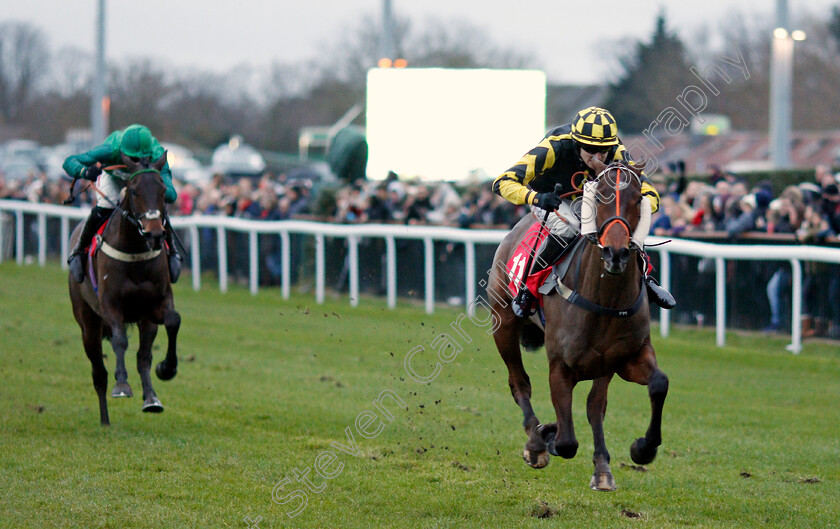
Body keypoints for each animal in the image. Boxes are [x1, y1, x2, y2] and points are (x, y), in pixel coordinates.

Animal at [69, 153, 180, 424]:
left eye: (163, 191)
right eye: (135, 191)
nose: (155, 233)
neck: (134, 251)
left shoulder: (155, 304)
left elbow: (173, 321)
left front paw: (167, 368)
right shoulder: (110, 305)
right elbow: (119, 340)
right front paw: (121, 385)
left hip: (144, 320)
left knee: (143, 357)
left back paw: (151, 398)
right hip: (87, 323)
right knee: (98, 372)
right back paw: (105, 420)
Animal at [488, 159, 668, 488]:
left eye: (639, 198)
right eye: (599, 198)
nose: (616, 253)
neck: (604, 298)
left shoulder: (622, 358)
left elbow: (654, 385)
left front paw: (640, 449)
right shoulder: (560, 366)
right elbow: (567, 442)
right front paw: (547, 436)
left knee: (595, 404)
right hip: (503, 323)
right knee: (519, 382)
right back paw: (536, 440)